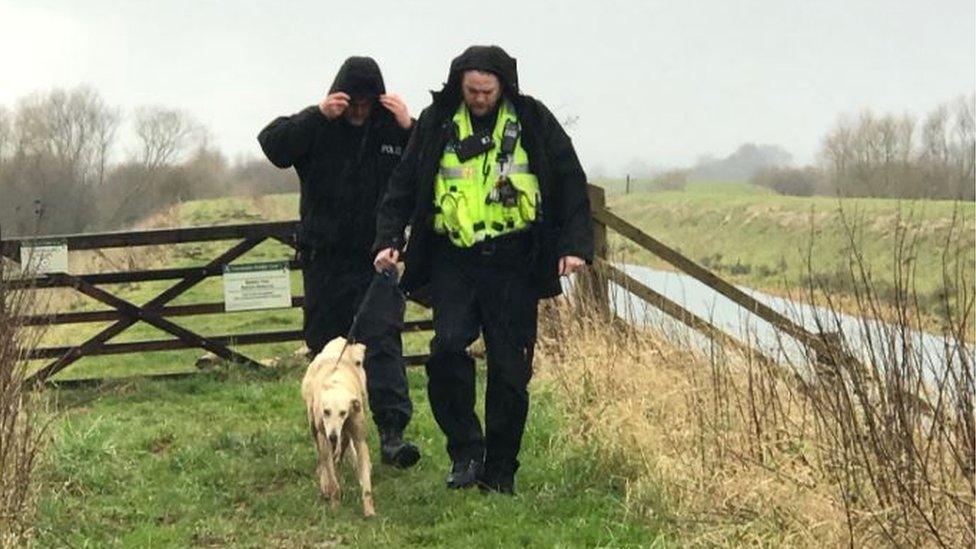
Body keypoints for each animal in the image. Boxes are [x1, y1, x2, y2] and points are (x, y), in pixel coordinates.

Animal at [300, 334, 376, 520]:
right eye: (326, 412)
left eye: (343, 412)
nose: (333, 436)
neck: (337, 382)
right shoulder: (324, 437)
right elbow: (330, 473)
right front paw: (335, 503)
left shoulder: (357, 436)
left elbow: (365, 478)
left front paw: (369, 510)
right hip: (314, 428)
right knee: (322, 458)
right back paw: (326, 482)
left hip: (346, 433)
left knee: (341, 452)